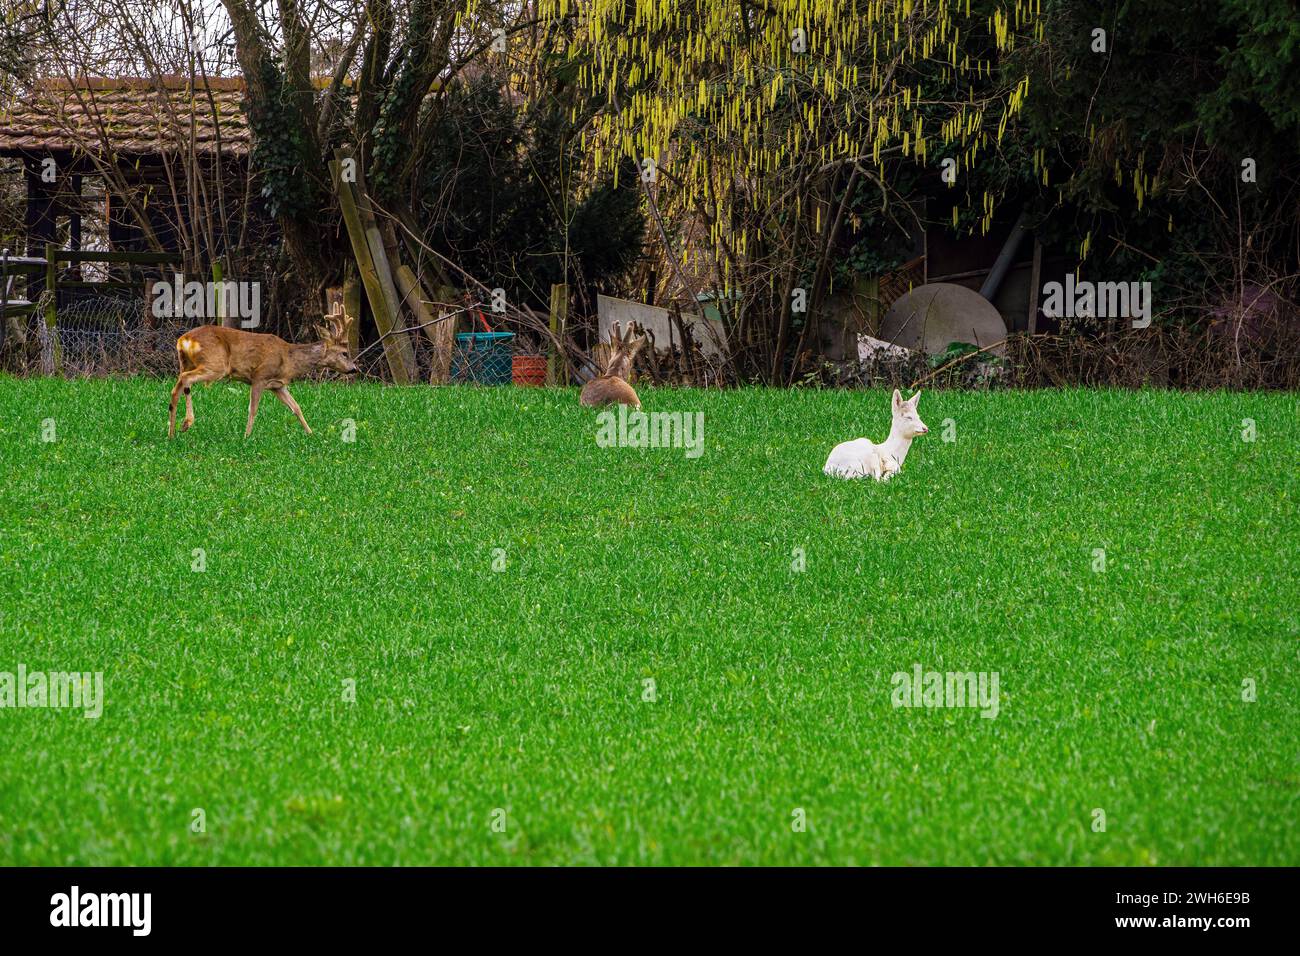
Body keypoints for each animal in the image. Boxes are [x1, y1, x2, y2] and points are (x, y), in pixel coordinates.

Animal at [167, 307, 359, 439]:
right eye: (345, 353)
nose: (354, 369)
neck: (288, 360)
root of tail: (183, 340)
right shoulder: (260, 376)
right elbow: (253, 408)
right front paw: (246, 436)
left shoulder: (277, 385)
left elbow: (296, 407)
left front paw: (311, 433)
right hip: (216, 365)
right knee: (184, 381)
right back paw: (178, 428)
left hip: (187, 363)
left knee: (182, 384)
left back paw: (178, 428)